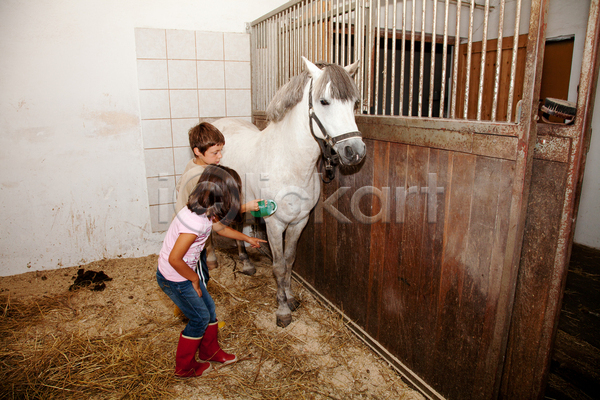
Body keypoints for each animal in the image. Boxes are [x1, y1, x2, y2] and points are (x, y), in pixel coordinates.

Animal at [213, 57, 368, 326]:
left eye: (354, 103)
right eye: (324, 101)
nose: (355, 151)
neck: (289, 163)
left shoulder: (299, 221)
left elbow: (289, 261)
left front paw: (291, 298)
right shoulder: (275, 224)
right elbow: (278, 266)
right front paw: (282, 310)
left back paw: (247, 263)